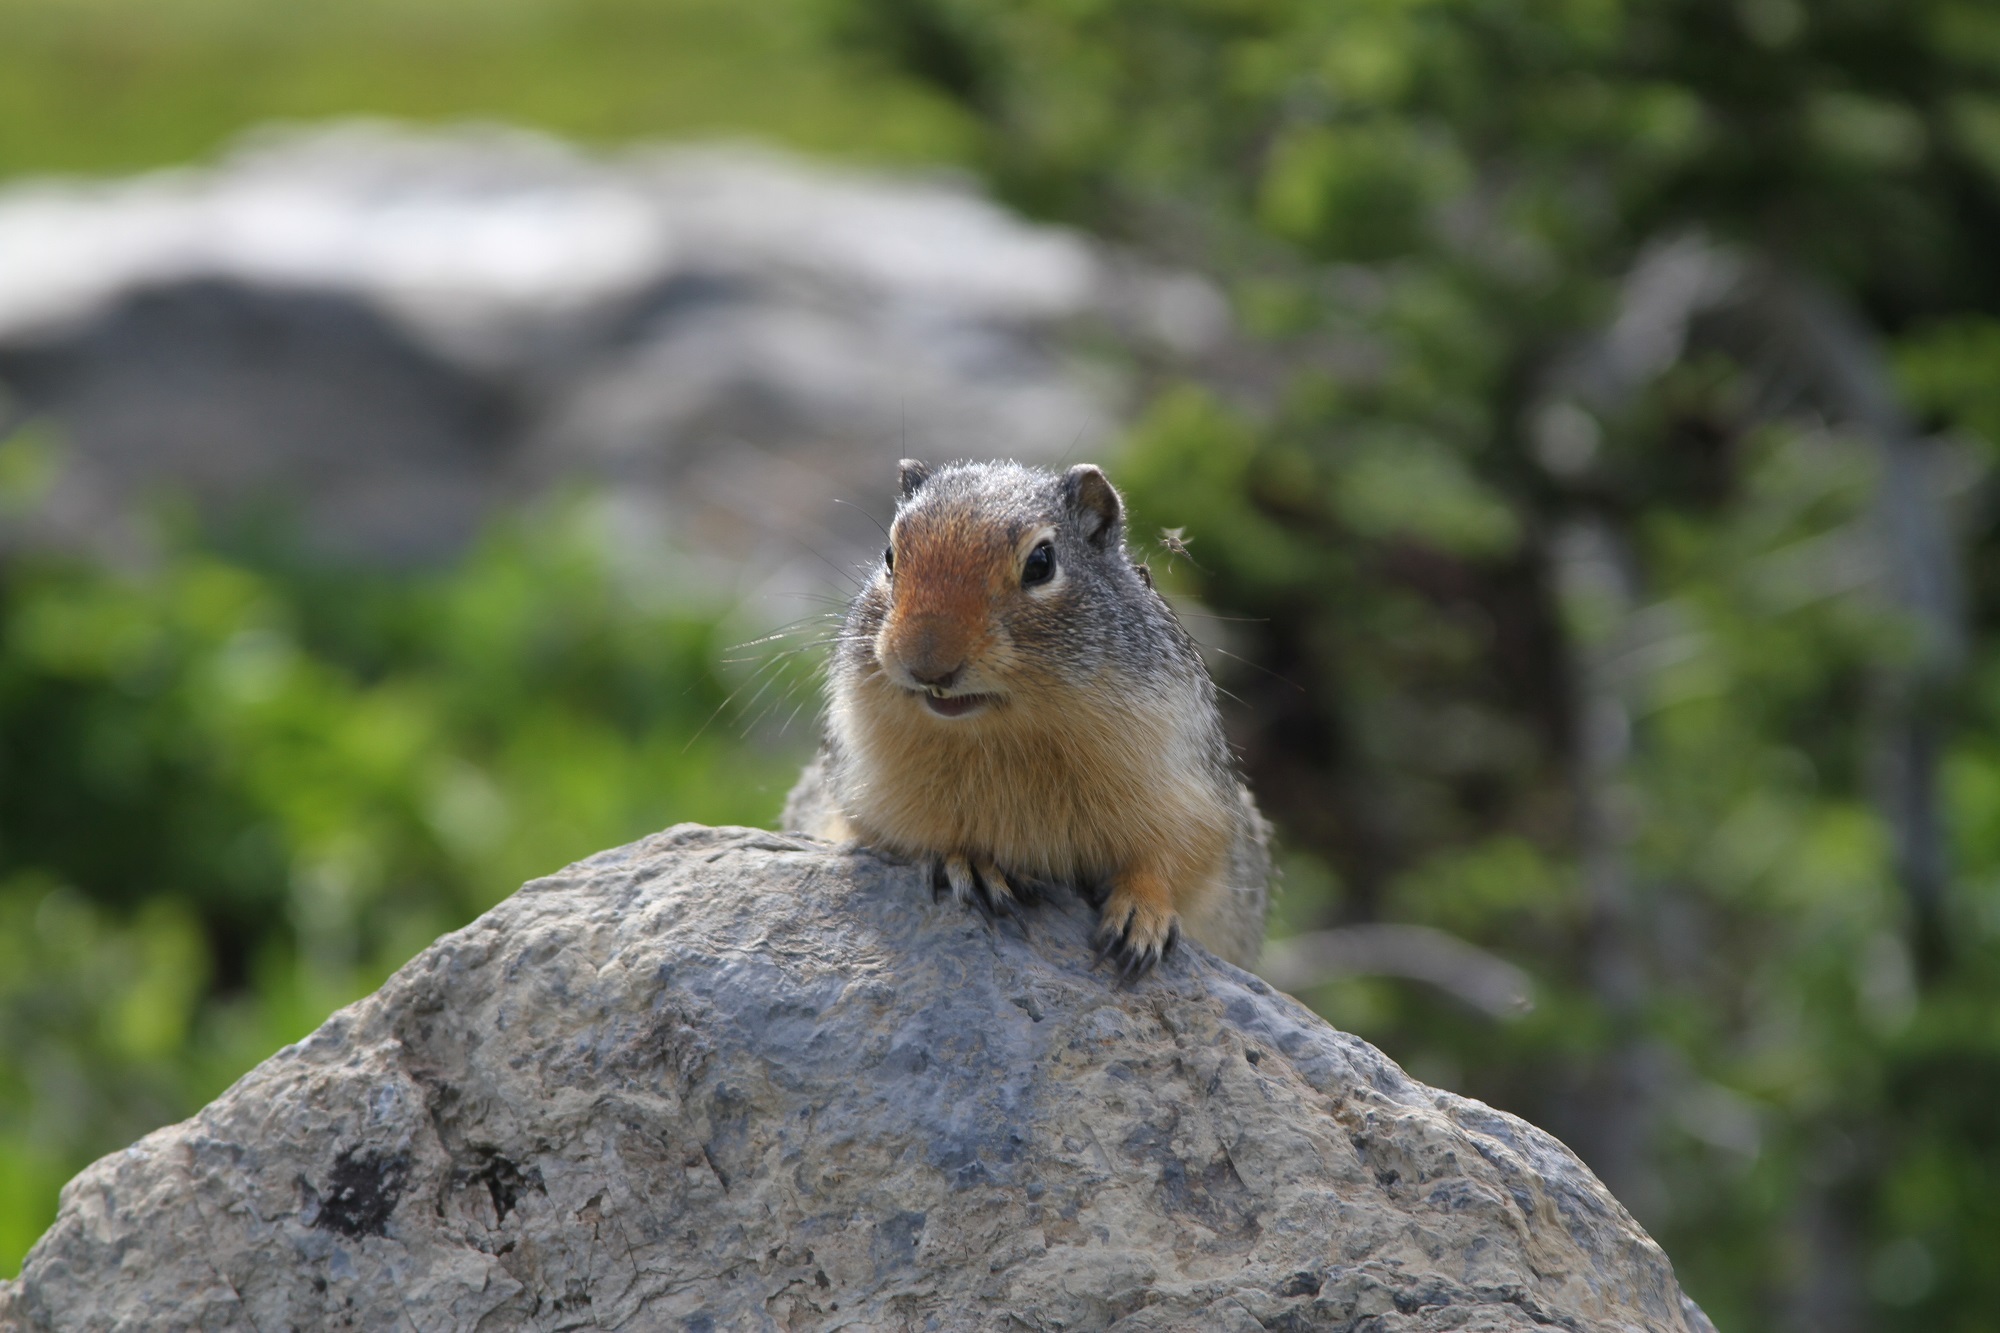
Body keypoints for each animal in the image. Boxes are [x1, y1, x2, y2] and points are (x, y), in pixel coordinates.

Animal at [780, 456, 1264, 976]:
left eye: (1041, 563)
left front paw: (1141, 917)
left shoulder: (1191, 789)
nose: (926, 664)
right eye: (890, 556)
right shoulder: (860, 790)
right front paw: (971, 863)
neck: (1004, 733)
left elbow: (1173, 857)